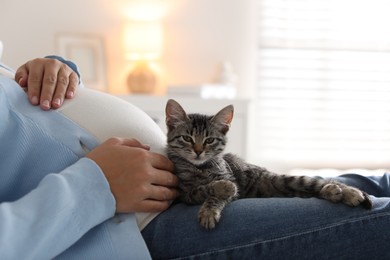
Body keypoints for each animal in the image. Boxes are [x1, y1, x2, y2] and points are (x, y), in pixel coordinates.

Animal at [165, 99, 372, 230]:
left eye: (209, 140)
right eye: (187, 138)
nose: (198, 151)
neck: (201, 167)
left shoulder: (229, 178)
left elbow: (219, 193)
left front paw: (210, 209)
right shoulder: (185, 194)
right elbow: (204, 189)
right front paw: (218, 191)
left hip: (287, 181)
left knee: (317, 182)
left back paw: (349, 192)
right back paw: (334, 192)